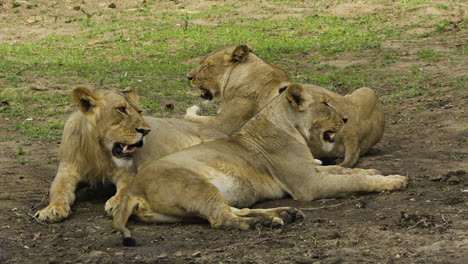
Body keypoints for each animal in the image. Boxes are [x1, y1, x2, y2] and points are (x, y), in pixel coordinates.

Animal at [35, 85, 151, 222]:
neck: (98, 152)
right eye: (121, 109)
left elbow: (126, 189)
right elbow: (58, 191)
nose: (146, 131)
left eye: (139, 111)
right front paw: (51, 209)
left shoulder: (128, 173)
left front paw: (118, 205)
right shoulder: (66, 173)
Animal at [113, 83, 406, 246]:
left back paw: (282, 214)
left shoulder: (311, 170)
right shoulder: (308, 184)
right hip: (195, 185)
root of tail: (132, 190)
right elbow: (351, 179)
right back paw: (265, 224)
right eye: (325, 104)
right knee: (222, 219)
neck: (289, 126)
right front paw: (392, 180)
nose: (345, 119)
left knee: (234, 210)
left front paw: (373, 170)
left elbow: (343, 169)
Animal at [186, 44, 384, 166]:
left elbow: (189, 117)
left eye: (206, 65)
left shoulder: (223, 123)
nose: (188, 77)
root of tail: (353, 132)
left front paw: (192, 109)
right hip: (367, 91)